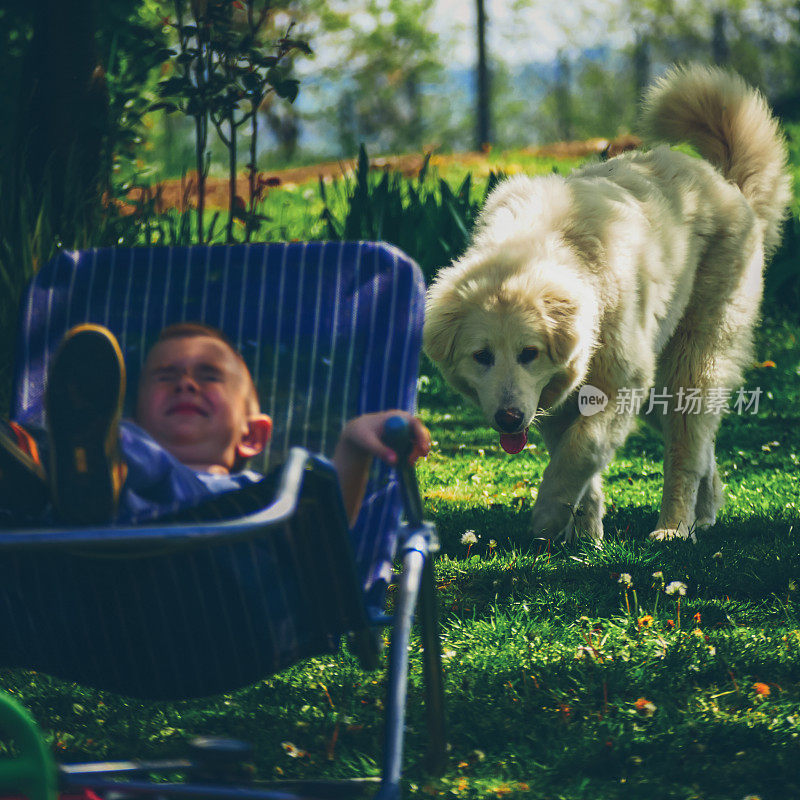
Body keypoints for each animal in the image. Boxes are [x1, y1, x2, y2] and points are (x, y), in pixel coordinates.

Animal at [422, 65, 792, 544]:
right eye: (481, 356)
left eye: (528, 353)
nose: (508, 418)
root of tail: (729, 186)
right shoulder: (556, 396)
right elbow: (577, 463)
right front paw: (583, 534)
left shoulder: (619, 383)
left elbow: (582, 450)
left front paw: (548, 516)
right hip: (660, 386)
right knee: (701, 445)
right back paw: (704, 515)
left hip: (689, 364)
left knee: (686, 450)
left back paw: (673, 528)